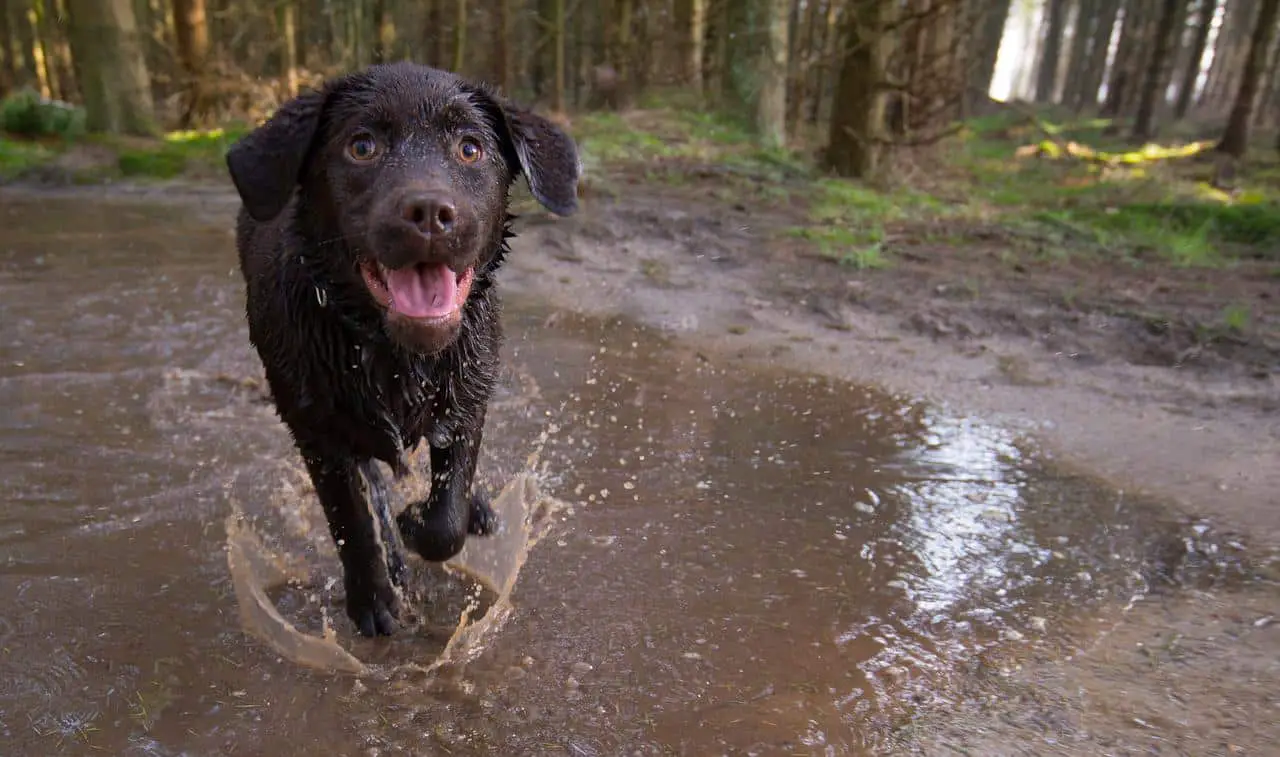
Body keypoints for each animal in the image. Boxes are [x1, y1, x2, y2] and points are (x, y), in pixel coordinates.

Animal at [224, 62, 581, 637]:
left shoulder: (468, 400)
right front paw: (373, 598)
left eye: (470, 148)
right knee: (372, 485)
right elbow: (352, 521)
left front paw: (428, 520)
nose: (431, 211)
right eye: (361, 146)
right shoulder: (316, 431)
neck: (395, 356)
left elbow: (447, 517)